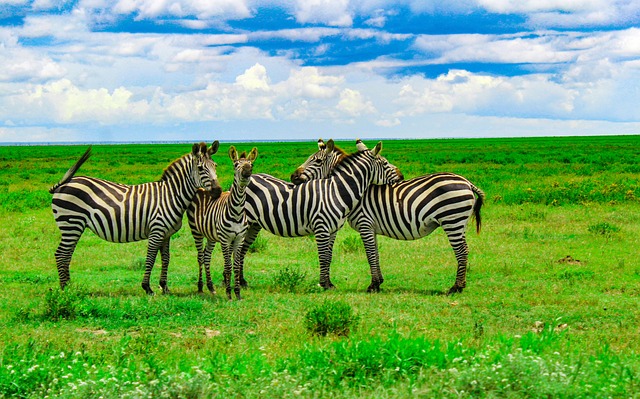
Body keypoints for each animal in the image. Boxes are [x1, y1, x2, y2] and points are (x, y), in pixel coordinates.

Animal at [49, 142, 222, 296]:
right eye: (200, 168)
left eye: (215, 166)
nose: (218, 191)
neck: (171, 195)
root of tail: (63, 184)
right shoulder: (156, 230)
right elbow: (150, 258)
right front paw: (147, 288)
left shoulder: (166, 234)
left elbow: (166, 258)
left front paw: (164, 287)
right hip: (71, 223)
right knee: (61, 254)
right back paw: (65, 289)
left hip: (74, 226)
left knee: (67, 255)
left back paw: (70, 286)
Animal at [188, 146, 258, 300]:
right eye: (236, 165)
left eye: (251, 165)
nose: (247, 173)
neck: (237, 212)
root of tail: (202, 188)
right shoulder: (225, 240)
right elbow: (228, 265)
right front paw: (228, 293)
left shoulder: (238, 239)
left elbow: (236, 266)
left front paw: (237, 293)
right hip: (196, 231)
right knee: (200, 257)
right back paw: (200, 287)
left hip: (211, 235)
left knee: (206, 256)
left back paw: (210, 287)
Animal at [232, 139, 400, 292]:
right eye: (385, 163)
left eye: (318, 160)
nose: (401, 176)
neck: (336, 191)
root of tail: (251, 176)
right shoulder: (321, 228)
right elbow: (323, 256)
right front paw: (323, 284)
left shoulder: (332, 230)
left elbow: (329, 255)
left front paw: (329, 284)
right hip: (246, 222)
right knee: (238, 249)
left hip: (254, 225)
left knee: (242, 250)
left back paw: (243, 282)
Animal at [292, 139, 484, 296]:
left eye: (316, 161)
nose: (293, 177)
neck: (350, 189)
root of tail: (467, 182)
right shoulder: (371, 228)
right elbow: (375, 253)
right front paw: (379, 283)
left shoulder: (365, 224)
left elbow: (370, 254)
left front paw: (373, 285)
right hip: (459, 222)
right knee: (464, 250)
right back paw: (460, 285)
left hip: (452, 220)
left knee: (461, 251)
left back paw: (456, 288)